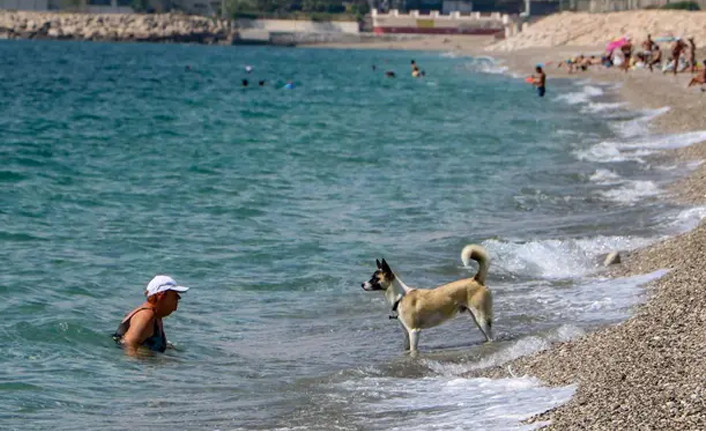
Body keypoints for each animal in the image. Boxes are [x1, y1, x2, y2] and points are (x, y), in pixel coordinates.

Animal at [360, 245, 492, 356]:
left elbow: (413, 349)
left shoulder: (414, 332)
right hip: (476, 319)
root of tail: (476, 279)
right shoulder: (406, 334)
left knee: (490, 337)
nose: (362, 284)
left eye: (375, 278)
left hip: (481, 318)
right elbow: (406, 348)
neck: (401, 297)